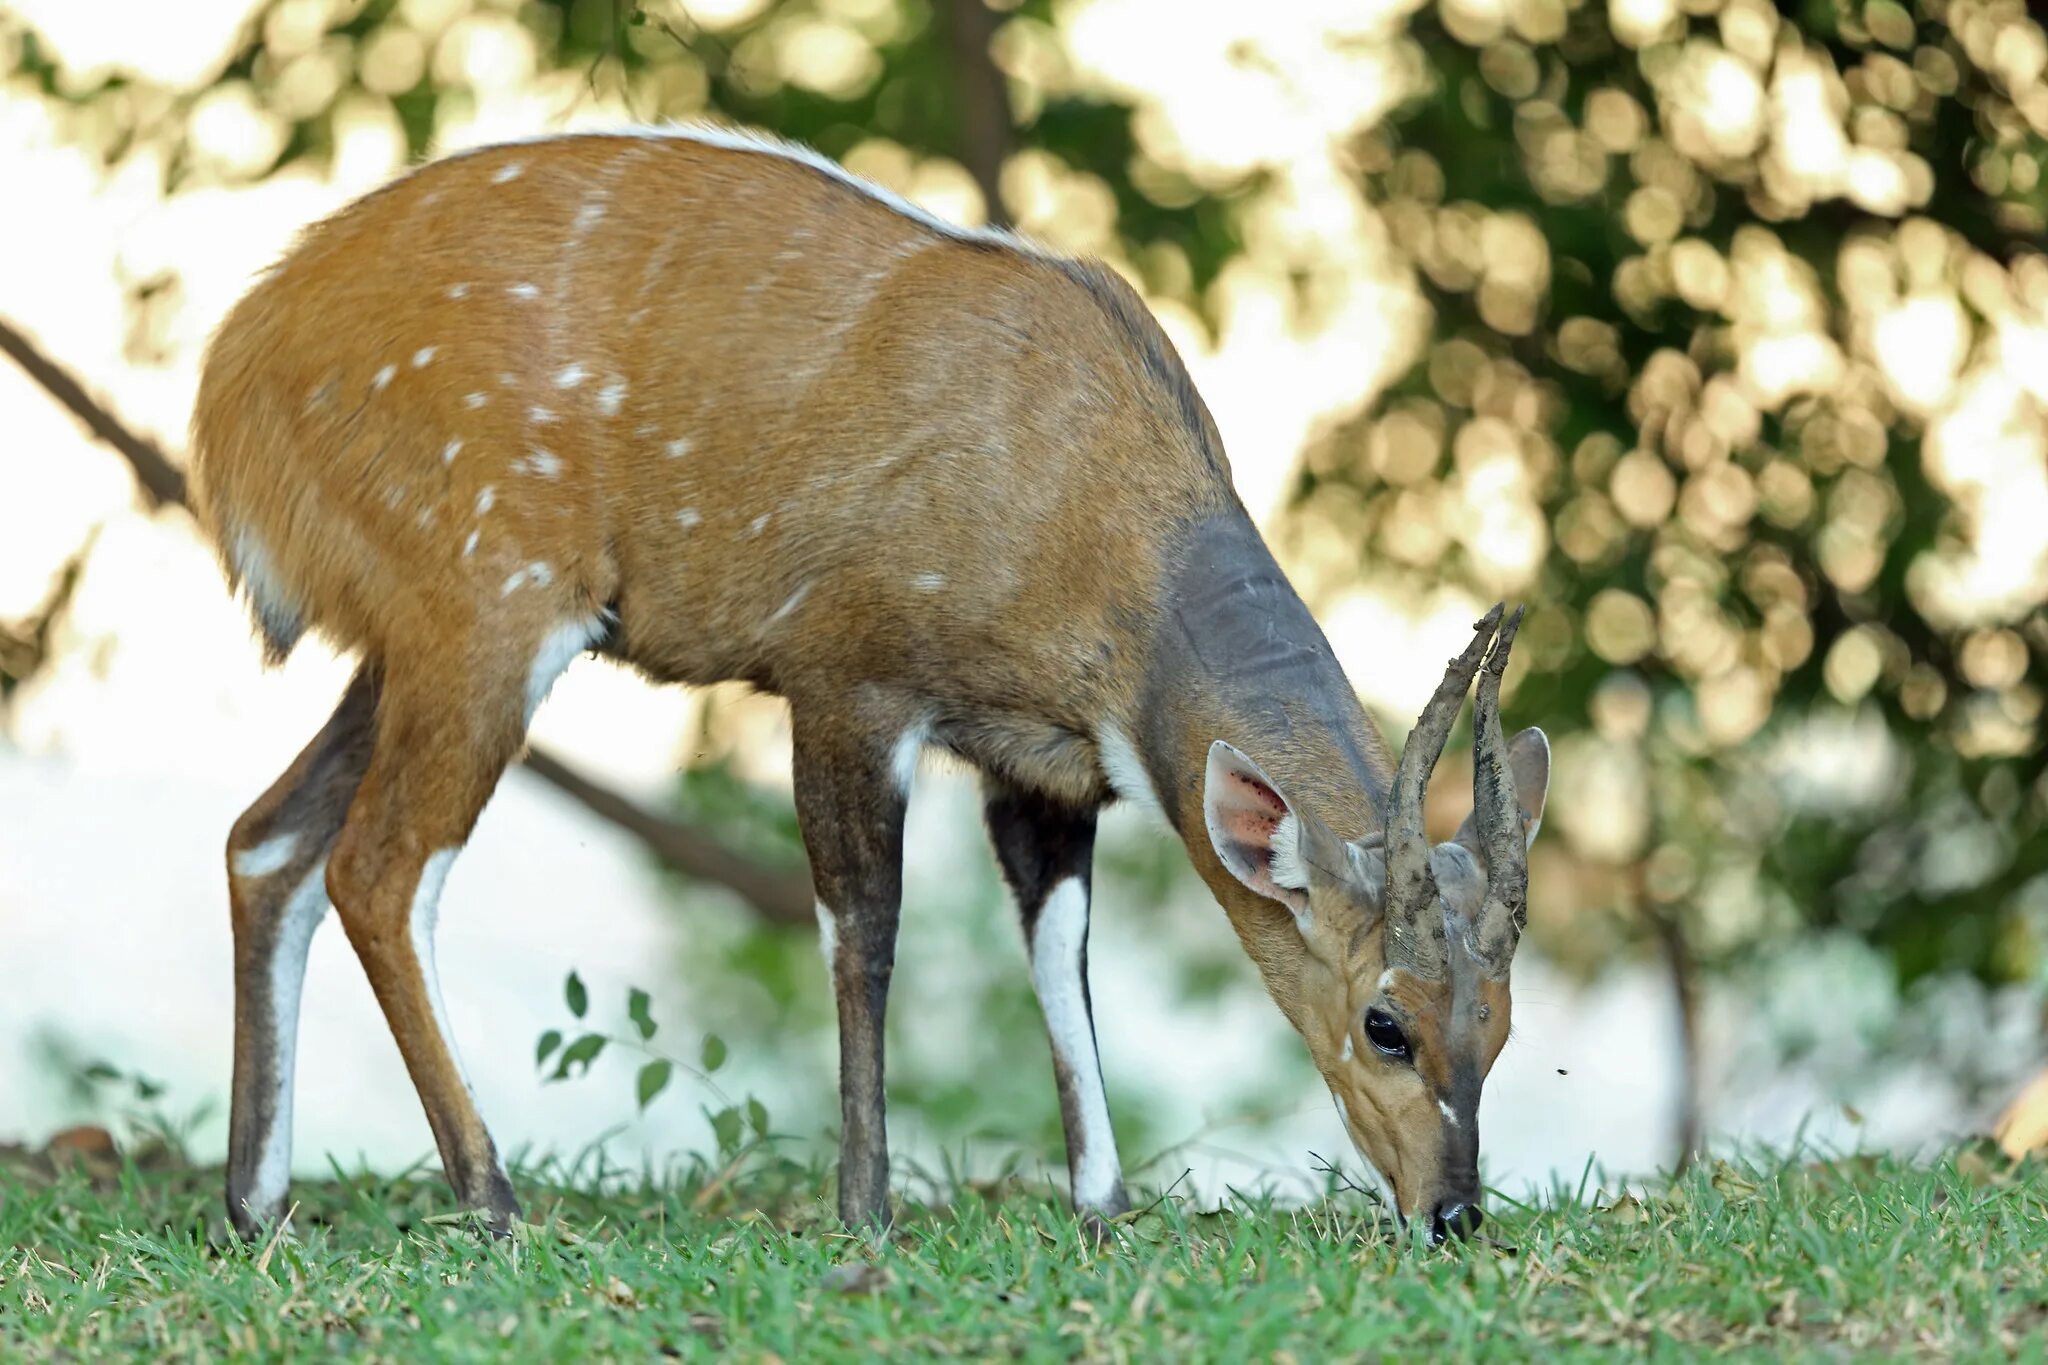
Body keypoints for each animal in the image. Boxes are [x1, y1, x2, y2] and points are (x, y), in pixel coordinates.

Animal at [199, 127, 1548, 1252]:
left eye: (1499, 1021)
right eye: (1384, 1022)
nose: (1452, 1214)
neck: (1106, 537)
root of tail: (231, 383)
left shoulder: (1042, 769)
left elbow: (1058, 947)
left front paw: (1103, 1206)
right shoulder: (848, 679)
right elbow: (864, 928)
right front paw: (866, 1211)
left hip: (408, 642)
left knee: (268, 838)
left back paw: (258, 1206)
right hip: (487, 605)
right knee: (378, 866)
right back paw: (491, 1202)